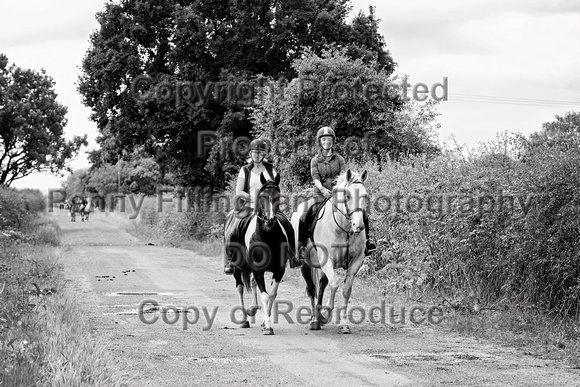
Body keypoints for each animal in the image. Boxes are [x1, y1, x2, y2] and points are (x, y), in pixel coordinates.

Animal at [228, 174, 292, 336]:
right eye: (262, 196)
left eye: (277, 196)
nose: (270, 220)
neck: (267, 236)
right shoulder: (258, 269)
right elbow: (264, 295)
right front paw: (268, 326)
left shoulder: (279, 270)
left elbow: (272, 294)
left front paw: (265, 322)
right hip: (236, 267)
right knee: (240, 287)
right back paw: (244, 319)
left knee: (252, 283)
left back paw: (252, 309)